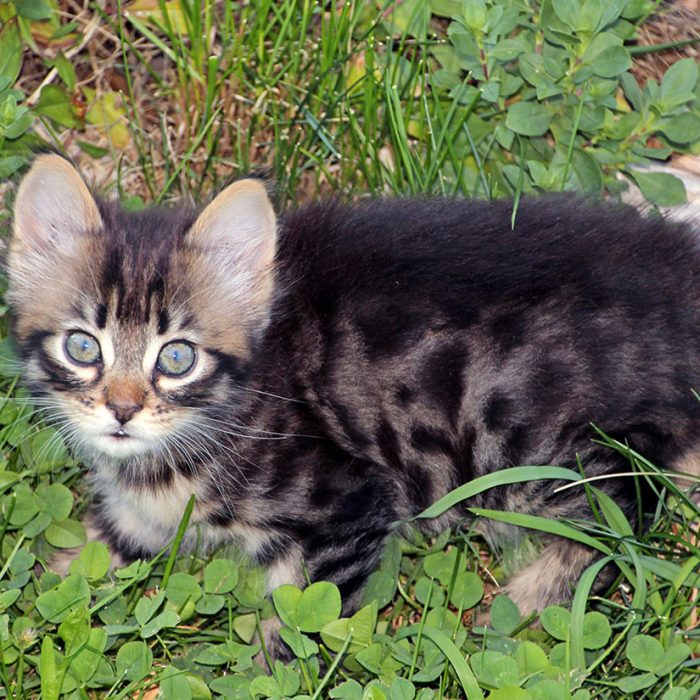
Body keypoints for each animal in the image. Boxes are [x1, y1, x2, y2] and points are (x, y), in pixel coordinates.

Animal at [5, 154, 700, 656]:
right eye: (81, 346)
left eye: (176, 358)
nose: (121, 411)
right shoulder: (142, 514)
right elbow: (92, 551)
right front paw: (44, 594)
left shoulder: (349, 503)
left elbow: (296, 631)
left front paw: (270, 671)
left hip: (523, 441)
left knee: (627, 501)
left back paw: (532, 599)